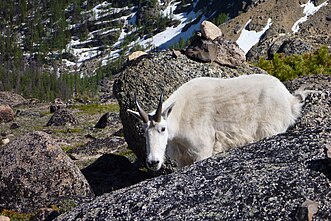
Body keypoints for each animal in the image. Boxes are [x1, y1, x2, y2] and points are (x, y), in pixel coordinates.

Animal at [128, 74, 304, 171]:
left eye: (163, 129)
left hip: (271, 128)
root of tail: (289, 99)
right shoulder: (182, 160)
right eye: (144, 132)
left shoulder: (202, 150)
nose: (153, 162)